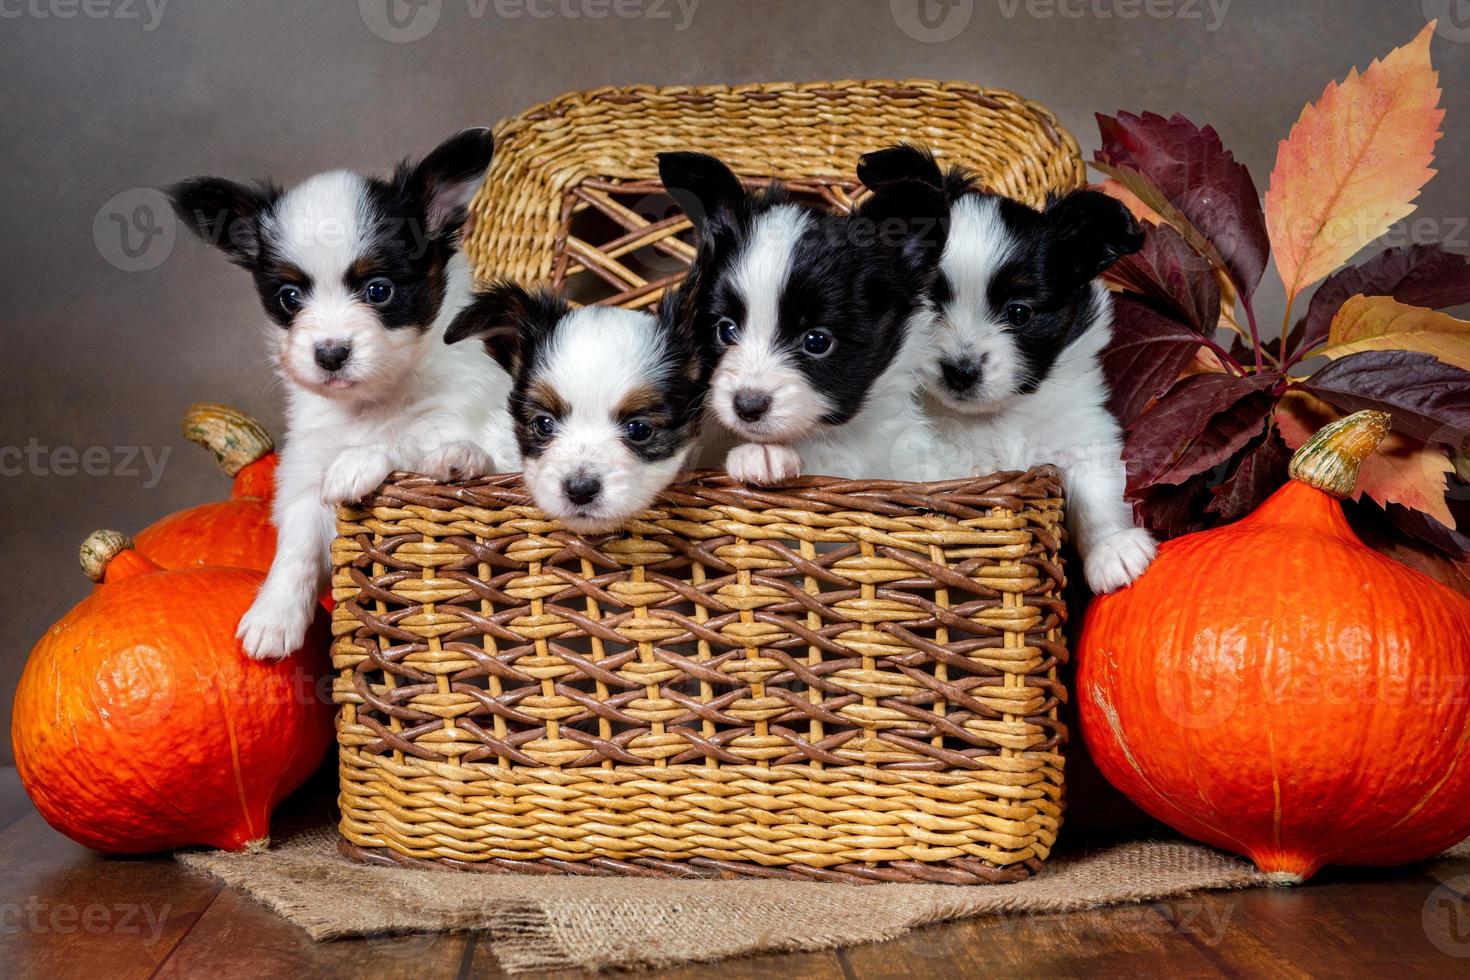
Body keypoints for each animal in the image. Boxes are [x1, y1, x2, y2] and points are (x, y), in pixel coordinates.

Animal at [168, 126, 517, 655]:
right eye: (289, 298)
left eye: (379, 291)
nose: (330, 353)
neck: (370, 402)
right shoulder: (304, 469)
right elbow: (296, 544)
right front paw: (274, 616)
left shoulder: (460, 408)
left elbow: (407, 436)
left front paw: (358, 462)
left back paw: (459, 459)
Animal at [858, 142, 1158, 593]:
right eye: (929, 301)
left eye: (1019, 313)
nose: (961, 370)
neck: (993, 417)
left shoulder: (1083, 433)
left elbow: (1098, 491)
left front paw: (1114, 549)